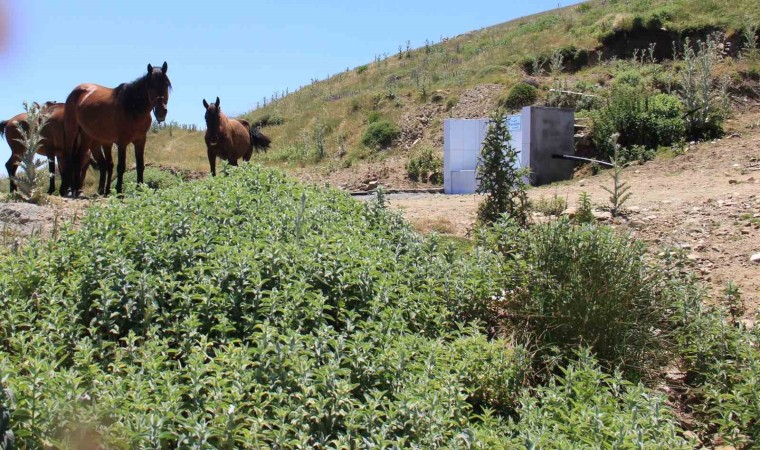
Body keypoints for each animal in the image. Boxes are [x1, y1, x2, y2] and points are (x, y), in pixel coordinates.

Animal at [63, 61, 171, 195]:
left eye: (166, 84)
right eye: (151, 86)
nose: (161, 112)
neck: (132, 108)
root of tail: (76, 91)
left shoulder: (140, 141)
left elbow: (140, 165)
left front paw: (140, 189)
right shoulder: (122, 142)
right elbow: (121, 166)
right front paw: (119, 192)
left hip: (86, 136)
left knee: (79, 159)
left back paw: (77, 190)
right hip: (71, 131)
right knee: (70, 158)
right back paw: (69, 190)